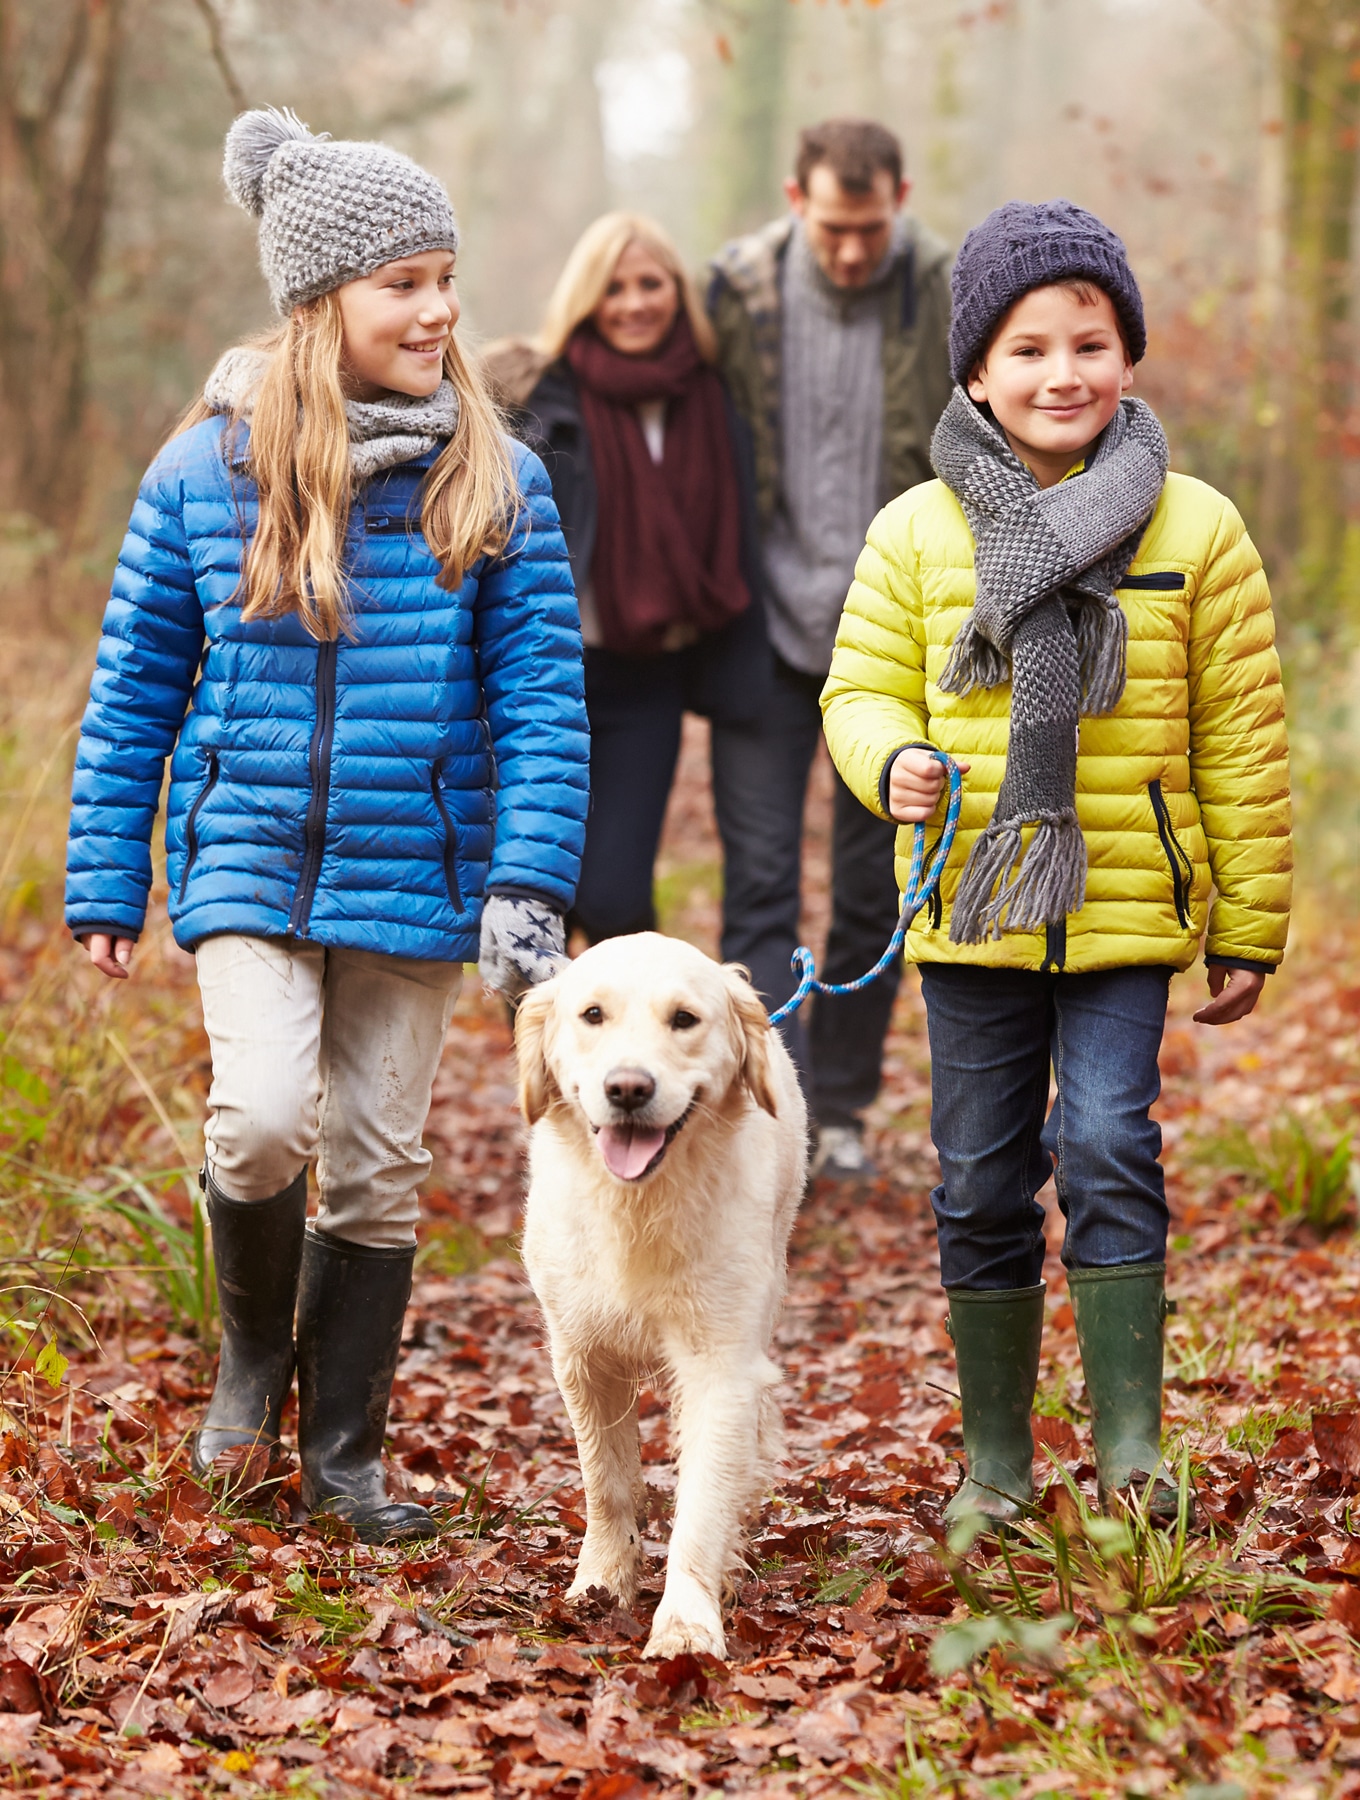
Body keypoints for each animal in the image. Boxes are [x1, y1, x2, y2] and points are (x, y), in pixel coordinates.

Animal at [514, 936, 802, 1648]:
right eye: (592, 1014)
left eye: (684, 1019)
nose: (627, 1088)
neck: (638, 1204)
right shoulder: (582, 1357)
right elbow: (609, 1483)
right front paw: (601, 1583)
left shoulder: (721, 1365)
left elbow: (701, 1504)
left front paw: (687, 1625)